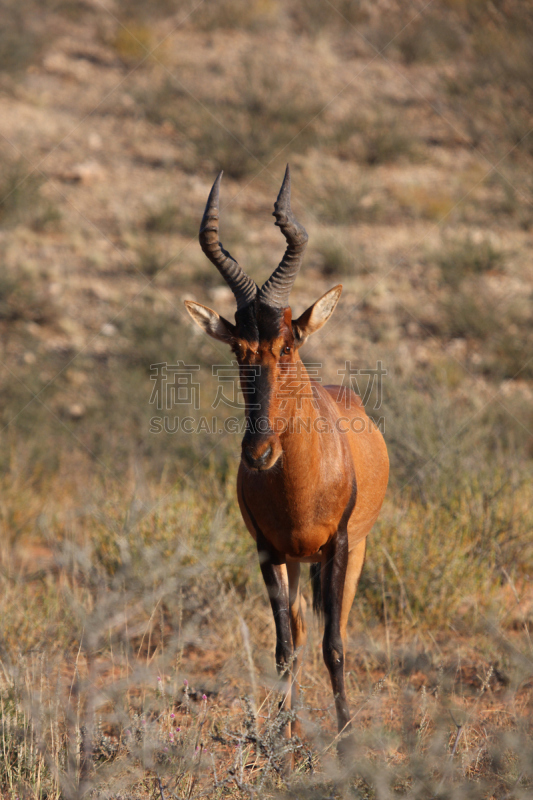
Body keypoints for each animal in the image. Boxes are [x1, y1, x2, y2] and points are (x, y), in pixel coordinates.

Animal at [185, 164, 388, 756]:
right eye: (238, 349)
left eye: (289, 345)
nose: (258, 454)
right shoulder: (267, 551)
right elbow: (283, 646)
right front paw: (280, 736)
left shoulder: (339, 547)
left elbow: (334, 645)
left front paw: (346, 742)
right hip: (297, 562)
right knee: (296, 630)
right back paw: (293, 725)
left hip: (352, 552)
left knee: (335, 629)